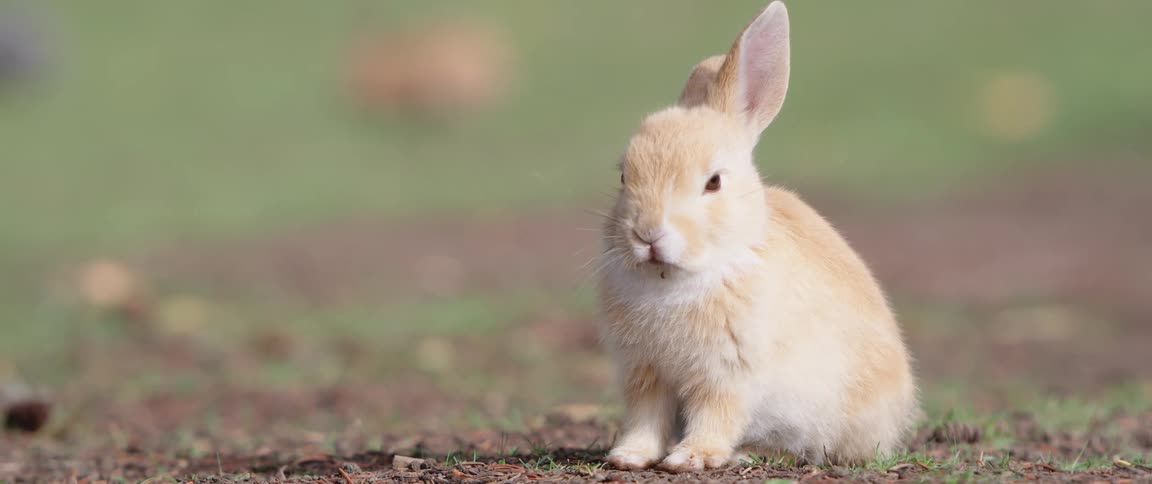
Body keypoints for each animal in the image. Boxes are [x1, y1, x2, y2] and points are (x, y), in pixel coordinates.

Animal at [597, 1, 917, 472]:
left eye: (713, 182)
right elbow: (646, 419)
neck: (675, 279)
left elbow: (716, 415)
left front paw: (690, 458)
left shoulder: (728, 374)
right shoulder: (646, 373)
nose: (648, 233)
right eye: (624, 176)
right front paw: (629, 456)